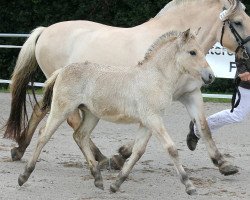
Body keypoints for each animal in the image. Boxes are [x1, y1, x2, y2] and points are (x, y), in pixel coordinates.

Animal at [3, 0, 250, 173]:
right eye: (238, 22)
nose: (248, 52)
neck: (171, 55)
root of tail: (45, 30)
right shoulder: (151, 103)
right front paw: (120, 155)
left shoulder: (191, 94)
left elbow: (204, 126)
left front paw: (222, 163)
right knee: (71, 122)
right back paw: (102, 158)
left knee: (41, 110)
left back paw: (20, 149)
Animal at [18, 30, 213, 195]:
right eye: (192, 52)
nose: (210, 76)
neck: (154, 77)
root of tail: (62, 71)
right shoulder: (153, 119)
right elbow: (171, 149)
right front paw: (189, 186)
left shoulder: (147, 122)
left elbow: (138, 152)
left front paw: (116, 184)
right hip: (61, 109)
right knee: (44, 135)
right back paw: (24, 175)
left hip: (91, 115)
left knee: (80, 136)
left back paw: (98, 178)